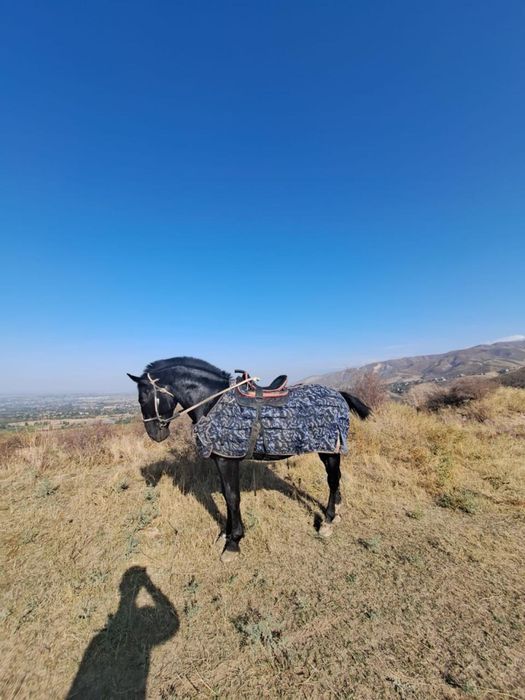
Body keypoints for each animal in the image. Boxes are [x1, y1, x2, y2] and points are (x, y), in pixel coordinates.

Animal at [127, 357, 371, 562]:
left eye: (143, 398)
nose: (155, 434)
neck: (213, 401)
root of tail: (339, 393)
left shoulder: (228, 460)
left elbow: (232, 497)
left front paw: (233, 542)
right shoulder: (221, 459)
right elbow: (226, 495)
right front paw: (225, 534)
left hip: (328, 451)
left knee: (332, 479)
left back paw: (328, 521)